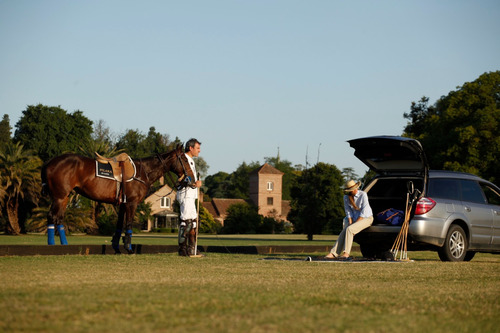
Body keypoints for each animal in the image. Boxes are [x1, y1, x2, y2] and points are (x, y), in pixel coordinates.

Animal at [42, 144, 194, 253]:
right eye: (185, 160)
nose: (191, 178)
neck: (143, 172)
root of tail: (49, 163)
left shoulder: (122, 204)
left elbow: (119, 225)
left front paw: (116, 246)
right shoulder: (131, 203)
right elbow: (129, 224)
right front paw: (129, 248)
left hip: (65, 197)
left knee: (59, 218)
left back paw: (64, 244)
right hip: (59, 197)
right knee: (51, 216)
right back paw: (51, 245)